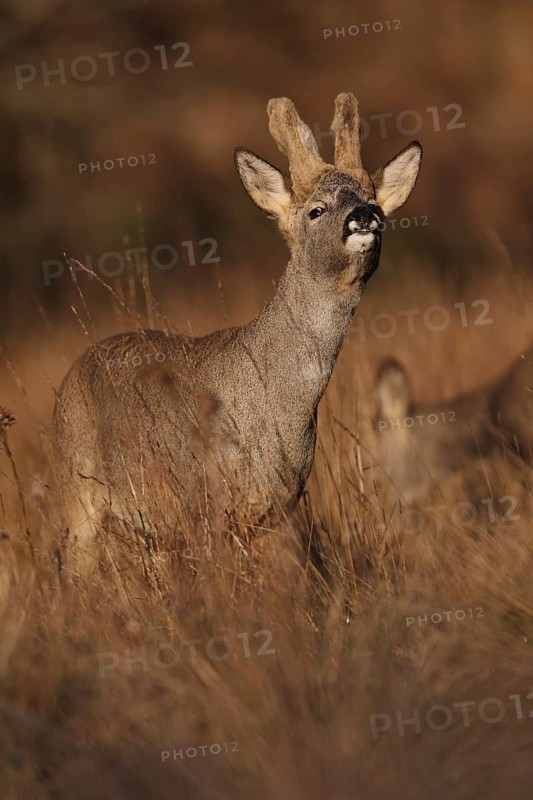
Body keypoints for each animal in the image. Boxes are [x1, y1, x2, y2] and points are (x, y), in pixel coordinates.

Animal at [53, 93, 422, 556]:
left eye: (374, 202)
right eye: (316, 210)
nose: (362, 216)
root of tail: (70, 375)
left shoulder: (277, 506)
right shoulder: (202, 502)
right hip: (76, 492)